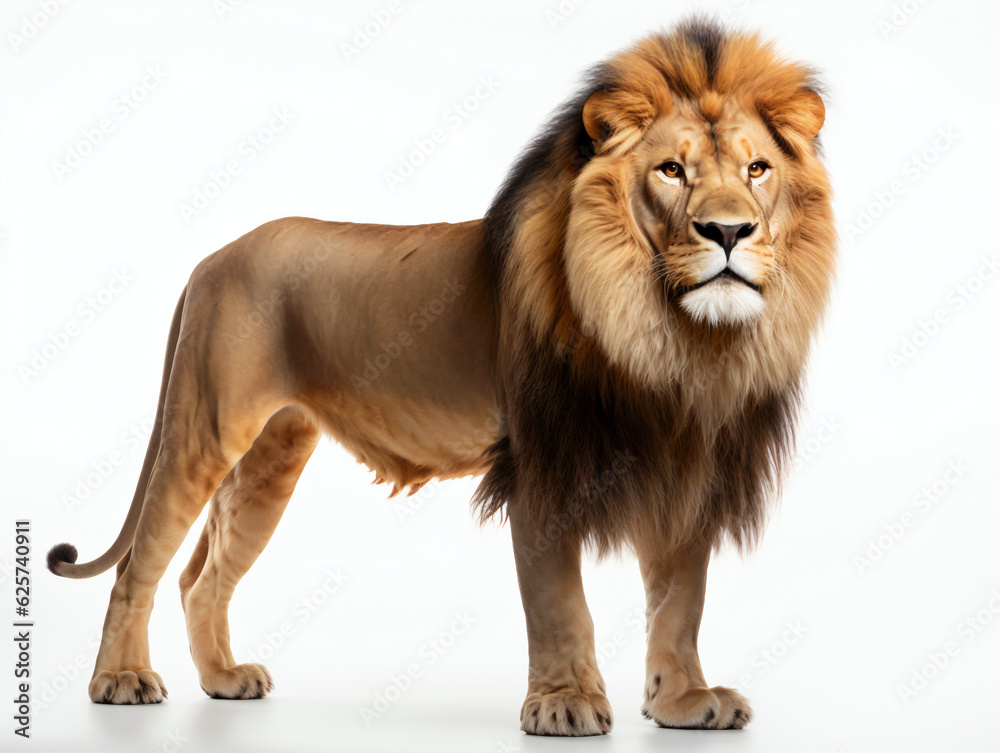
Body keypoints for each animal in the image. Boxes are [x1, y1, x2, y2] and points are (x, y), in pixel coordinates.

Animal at [47, 17, 835, 736]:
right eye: (671, 170)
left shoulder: (688, 468)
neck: (669, 337)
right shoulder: (540, 466)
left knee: (201, 578)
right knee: (140, 567)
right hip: (205, 428)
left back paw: (222, 679)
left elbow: (681, 601)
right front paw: (565, 704)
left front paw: (683, 702)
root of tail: (211, 258)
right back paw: (120, 680)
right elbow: (559, 602)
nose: (729, 232)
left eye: (757, 170)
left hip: (272, 456)